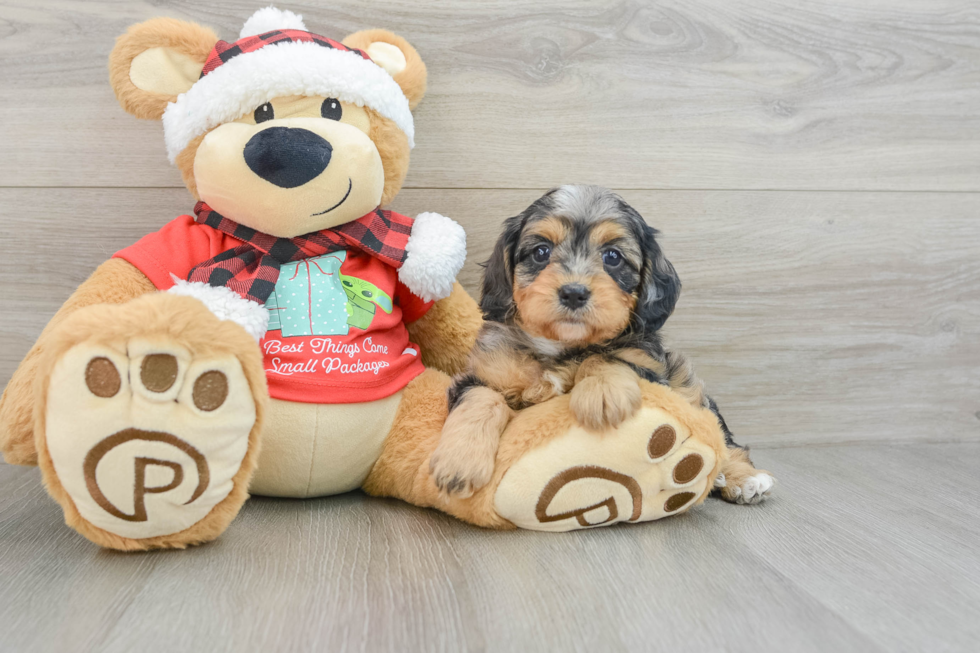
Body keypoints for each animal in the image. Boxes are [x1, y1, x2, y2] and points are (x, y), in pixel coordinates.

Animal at [428, 186, 772, 502]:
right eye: (541, 252)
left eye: (613, 257)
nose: (574, 293)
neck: (562, 347)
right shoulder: (483, 372)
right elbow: (482, 398)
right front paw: (459, 461)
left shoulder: (651, 369)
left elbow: (606, 356)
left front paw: (603, 393)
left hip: (686, 383)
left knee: (721, 434)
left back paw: (743, 478)